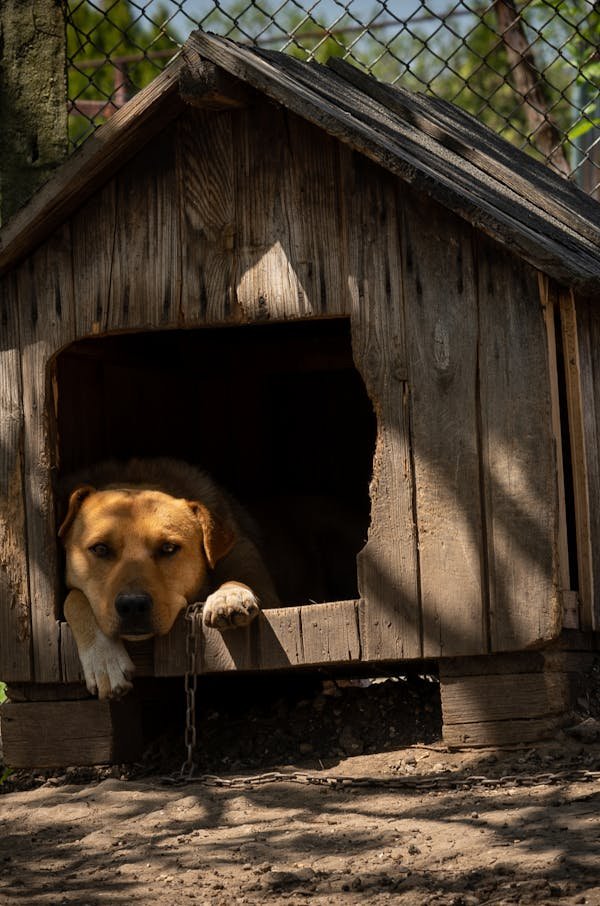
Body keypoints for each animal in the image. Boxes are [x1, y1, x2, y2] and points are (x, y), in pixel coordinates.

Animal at [58, 460, 278, 700]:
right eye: (100, 548)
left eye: (168, 548)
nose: (132, 605)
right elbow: (74, 598)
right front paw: (105, 659)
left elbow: (241, 578)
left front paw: (228, 595)